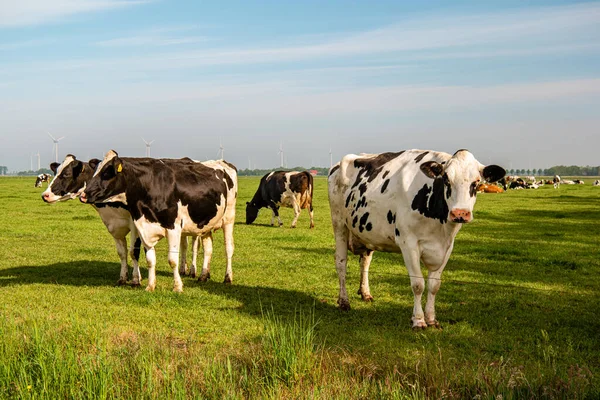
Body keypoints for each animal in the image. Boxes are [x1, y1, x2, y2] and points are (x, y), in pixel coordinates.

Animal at [80, 152, 239, 292]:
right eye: (95, 171)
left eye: (107, 172)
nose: (84, 194)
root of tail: (222, 162)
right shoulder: (143, 227)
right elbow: (150, 259)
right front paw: (150, 286)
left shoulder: (174, 228)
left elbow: (172, 260)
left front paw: (177, 287)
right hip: (206, 224)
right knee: (208, 248)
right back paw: (203, 276)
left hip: (229, 218)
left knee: (229, 248)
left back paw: (227, 278)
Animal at [328, 148, 506, 330]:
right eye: (446, 180)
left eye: (476, 182)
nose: (460, 213)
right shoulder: (408, 243)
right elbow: (418, 284)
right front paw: (418, 320)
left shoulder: (447, 246)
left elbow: (434, 285)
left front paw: (432, 319)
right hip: (339, 223)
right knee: (341, 263)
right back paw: (344, 302)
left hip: (367, 231)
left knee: (365, 262)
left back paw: (365, 293)